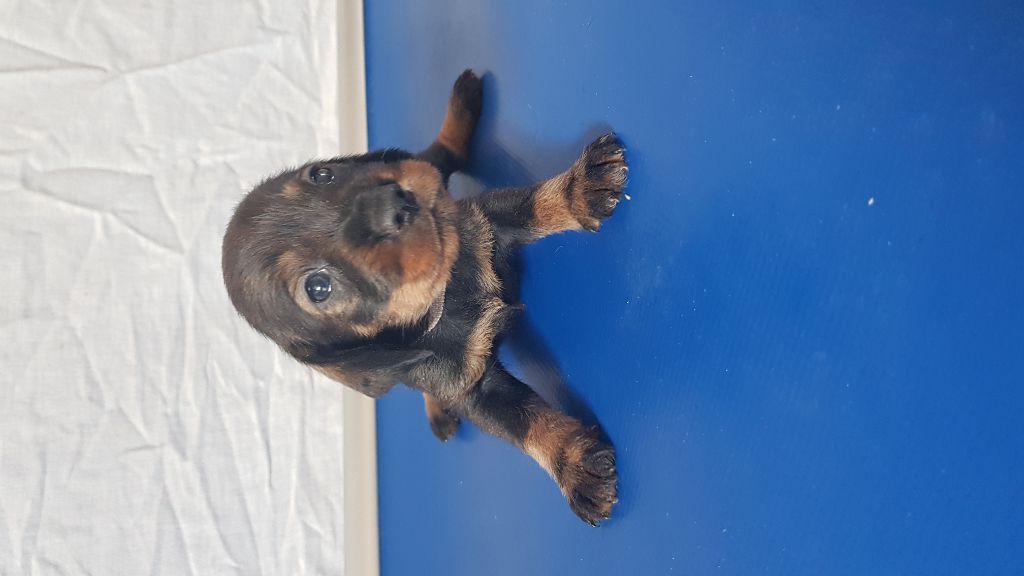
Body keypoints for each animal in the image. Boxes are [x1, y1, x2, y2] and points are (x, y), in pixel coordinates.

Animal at [222, 70, 626, 525]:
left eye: (321, 174)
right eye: (318, 288)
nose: (392, 202)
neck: (445, 294)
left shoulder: (483, 216)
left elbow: (535, 203)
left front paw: (577, 190)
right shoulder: (474, 391)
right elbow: (526, 427)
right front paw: (571, 463)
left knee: (436, 157)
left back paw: (463, 102)